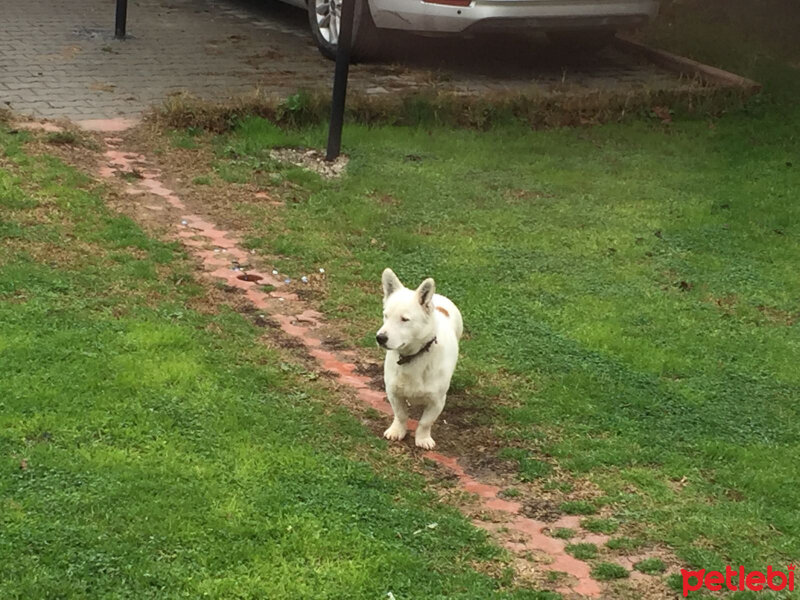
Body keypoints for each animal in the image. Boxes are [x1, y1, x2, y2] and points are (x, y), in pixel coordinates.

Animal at [376, 268, 462, 450]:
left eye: (404, 319)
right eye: (386, 315)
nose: (380, 338)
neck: (413, 356)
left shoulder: (437, 402)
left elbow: (425, 422)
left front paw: (422, 438)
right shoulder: (393, 393)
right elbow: (401, 415)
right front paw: (397, 431)